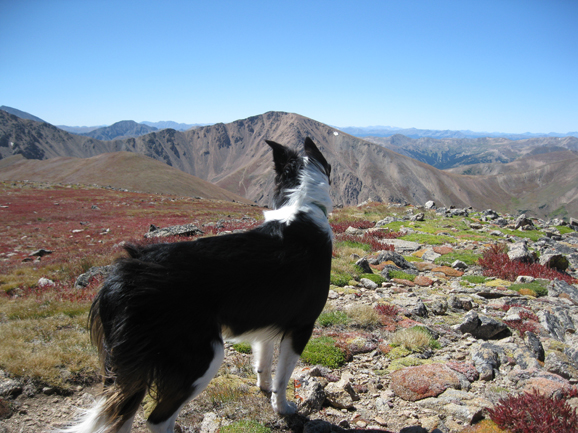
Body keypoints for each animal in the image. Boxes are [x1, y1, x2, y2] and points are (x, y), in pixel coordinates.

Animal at [60, 138, 330, 432]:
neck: (304, 206)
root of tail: (125, 274)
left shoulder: (266, 322)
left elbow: (263, 362)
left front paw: (263, 388)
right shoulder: (302, 326)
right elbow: (283, 377)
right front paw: (283, 408)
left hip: (132, 368)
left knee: (122, 418)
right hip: (202, 357)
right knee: (157, 419)